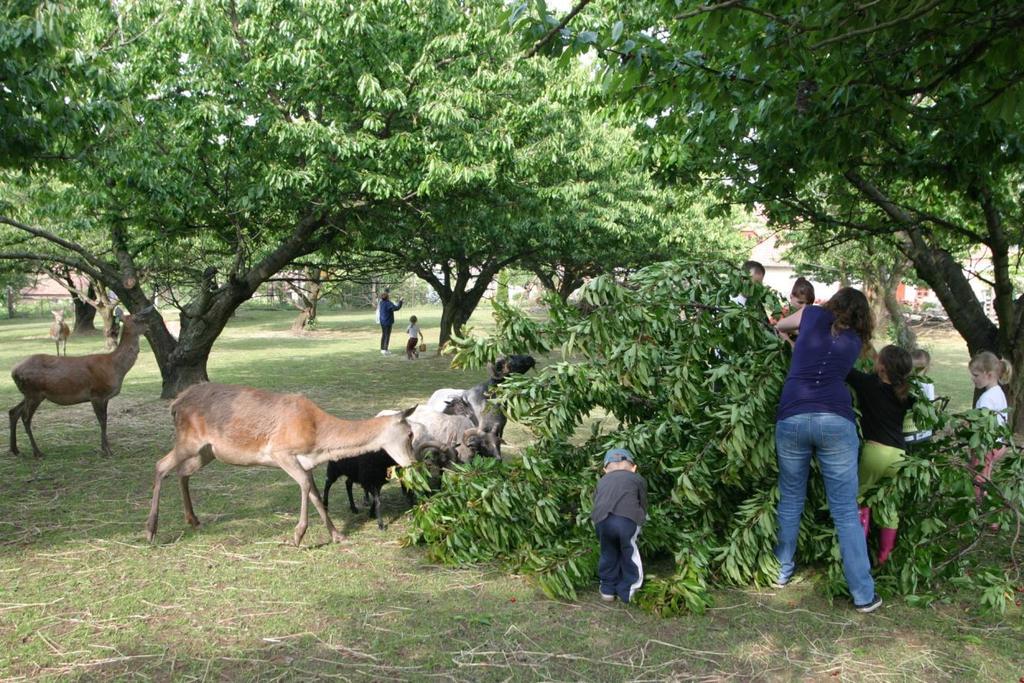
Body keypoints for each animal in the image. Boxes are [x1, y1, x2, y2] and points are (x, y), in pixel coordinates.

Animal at [8, 309, 153, 458]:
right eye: (136, 318)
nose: (149, 327)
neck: (115, 367)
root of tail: (14, 371)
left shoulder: (105, 397)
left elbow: (105, 420)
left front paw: (105, 448)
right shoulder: (97, 393)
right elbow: (102, 421)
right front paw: (106, 450)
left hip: (29, 394)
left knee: (13, 411)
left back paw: (15, 449)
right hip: (34, 392)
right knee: (25, 418)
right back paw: (37, 452)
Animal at [143, 382, 419, 548]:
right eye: (409, 434)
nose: (413, 462)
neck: (318, 439)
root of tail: (176, 404)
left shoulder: (306, 462)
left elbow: (316, 494)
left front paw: (337, 534)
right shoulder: (281, 453)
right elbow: (306, 486)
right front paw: (297, 536)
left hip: (208, 451)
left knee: (183, 472)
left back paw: (194, 520)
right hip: (188, 441)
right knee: (161, 465)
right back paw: (150, 530)